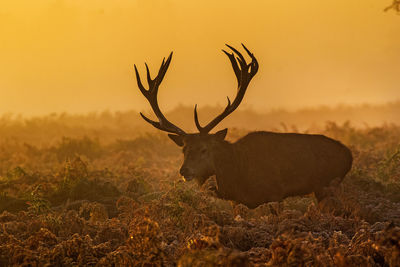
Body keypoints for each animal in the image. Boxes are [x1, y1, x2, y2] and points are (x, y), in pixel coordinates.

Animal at [135, 44, 354, 209]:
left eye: (204, 149)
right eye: (183, 149)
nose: (184, 171)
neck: (236, 176)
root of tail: (349, 155)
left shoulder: (275, 193)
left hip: (327, 185)